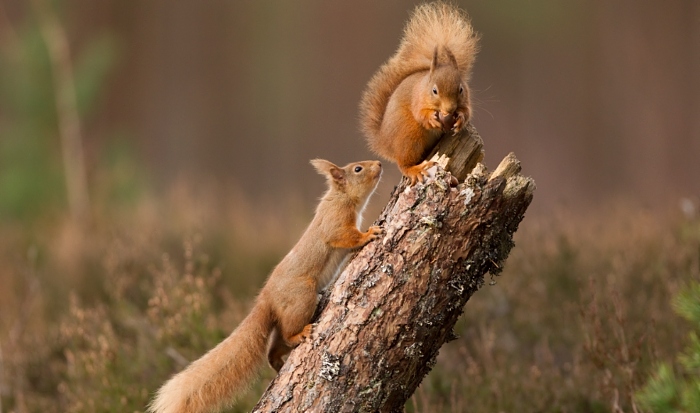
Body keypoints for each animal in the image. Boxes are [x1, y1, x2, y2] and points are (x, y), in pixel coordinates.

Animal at [148, 159, 386, 412]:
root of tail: (267, 299)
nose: (379, 163)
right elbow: (346, 237)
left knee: (274, 347)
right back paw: (299, 335)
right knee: (287, 334)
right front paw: (370, 233)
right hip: (302, 298)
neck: (342, 198)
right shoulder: (335, 223)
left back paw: (278, 361)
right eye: (357, 169)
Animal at [358, 2, 478, 183]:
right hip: (410, 136)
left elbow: (467, 111)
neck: (424, 85)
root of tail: (386, 143)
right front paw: (432, 119)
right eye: (434, 90)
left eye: (461, 89)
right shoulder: (417, 99)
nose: (449, 110)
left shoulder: (466, 100)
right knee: (403, 164)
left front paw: (460, 120)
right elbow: (420, 114)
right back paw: (415, 169)